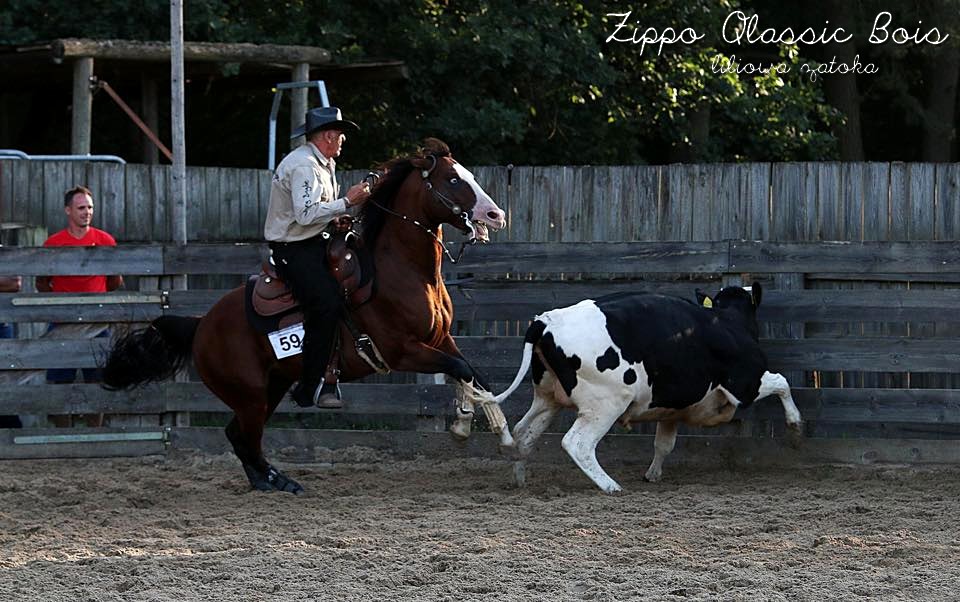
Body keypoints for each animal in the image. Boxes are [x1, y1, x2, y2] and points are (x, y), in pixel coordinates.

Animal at [101, 139, 511, 493]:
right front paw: (465, 426)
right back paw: (279, 481)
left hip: (269, 388)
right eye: (453, 179)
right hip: (251, 396)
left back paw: (268, 481)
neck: (401, 270)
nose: (496, 214)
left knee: (237, 435)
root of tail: (201, 325)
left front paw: (498, 430)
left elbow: (474, 374)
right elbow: (460, 370)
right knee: (246, 439)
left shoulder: (441, 339)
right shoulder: (403, 351)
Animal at [491, 283, 802, 493]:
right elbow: (782, 383)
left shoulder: (672, 410)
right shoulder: (745, 385)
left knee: (523, 434)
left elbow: (663, 444)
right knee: (577, 443)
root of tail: (546, 321)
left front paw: (652, 474)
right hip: (605, 405)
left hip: (547, 400)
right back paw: (611, 486)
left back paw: (519, 477)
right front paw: (795, 424)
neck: (728, 322)